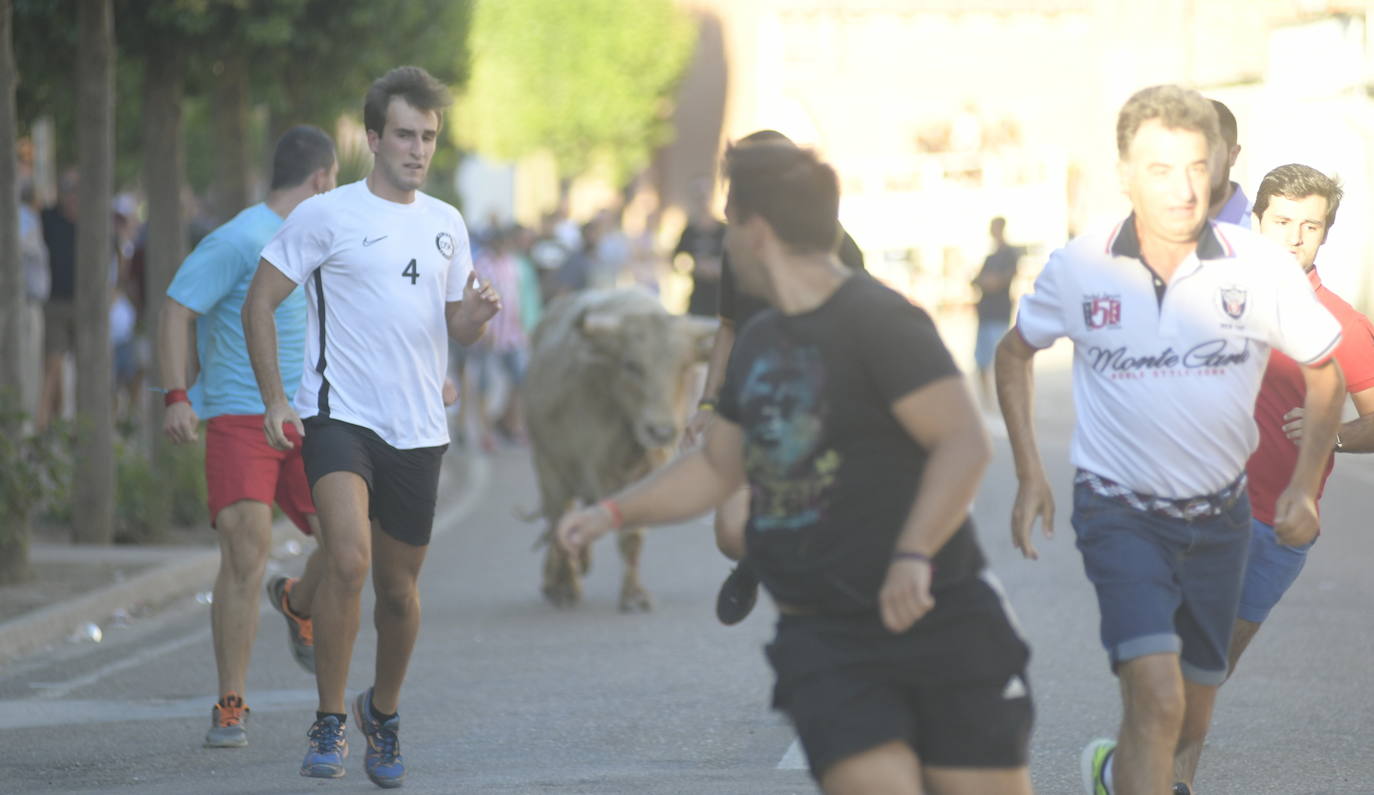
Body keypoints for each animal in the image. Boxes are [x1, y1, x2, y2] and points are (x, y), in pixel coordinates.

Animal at [522, 289, 719, 612]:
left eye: (683, 367)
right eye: (631, 365)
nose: (660, 431)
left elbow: (632, 533)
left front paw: (634, 593)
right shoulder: (588, 468)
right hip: (547, 466)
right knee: (556, 518)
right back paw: (563, 584)